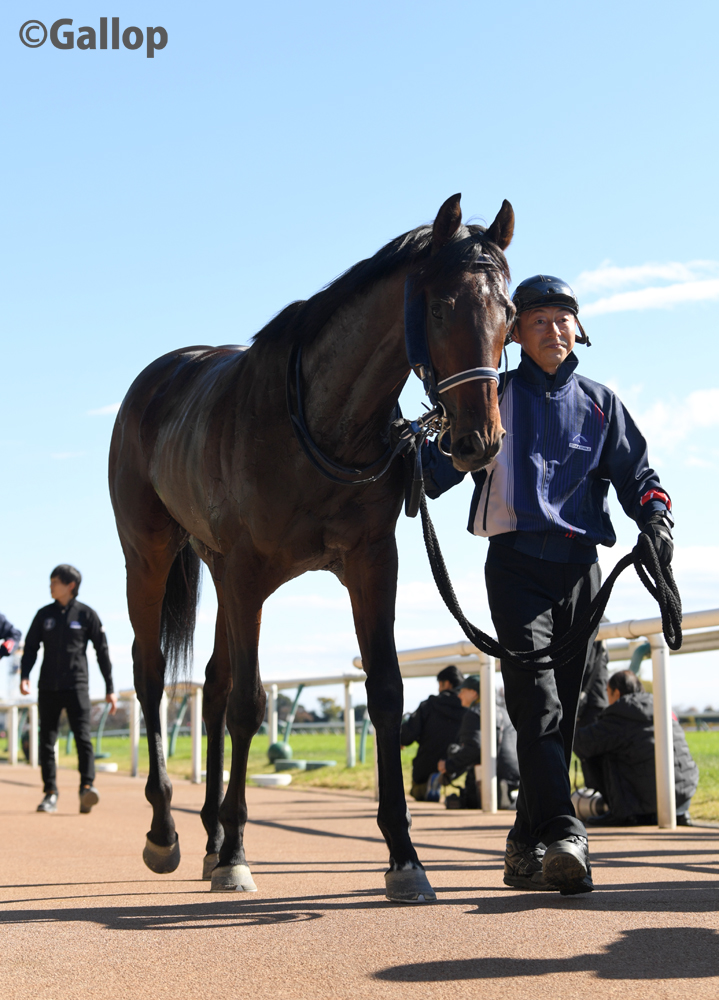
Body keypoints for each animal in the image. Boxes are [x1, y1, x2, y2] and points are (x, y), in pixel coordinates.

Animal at [109, 193, 514, 902]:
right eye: (441, 307)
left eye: (510, 313)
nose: (479, 440)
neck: (324, 422)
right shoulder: (247, 571)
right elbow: (249, 703)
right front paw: (238, 854)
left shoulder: (372, 561)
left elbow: (384, 691)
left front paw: (404, 856)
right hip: (150, 552)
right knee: (154, 673)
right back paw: (168, 832)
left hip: (215, 568)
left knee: (211, 684)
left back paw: (211, 835)